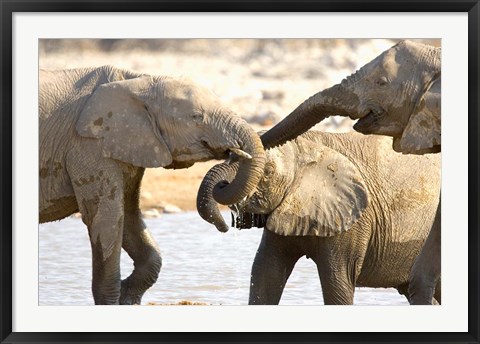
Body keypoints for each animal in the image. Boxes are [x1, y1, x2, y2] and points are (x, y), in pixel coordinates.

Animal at [39, 64, 266, 304]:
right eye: (196, 116)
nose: (226, 226)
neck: (137, 80)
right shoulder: (89, 147)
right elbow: (107, 219)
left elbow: (129, 217)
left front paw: (128, 298)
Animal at [197, 131, 440, 304]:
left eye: (267, 172)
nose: (224, 226)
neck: (308, 145)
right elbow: (266, 272)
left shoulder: (353, 217)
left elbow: (337, 281)